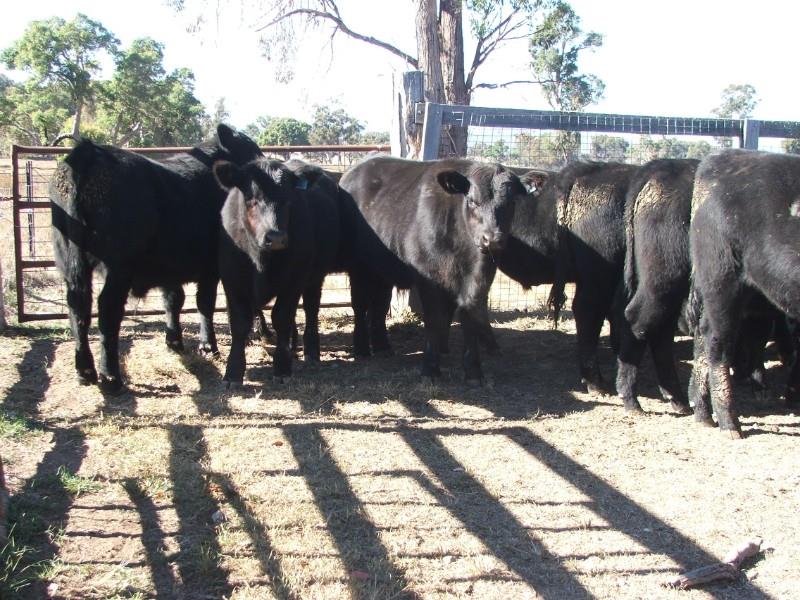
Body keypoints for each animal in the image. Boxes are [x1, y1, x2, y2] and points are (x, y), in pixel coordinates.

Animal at [50, 124, 263, 393]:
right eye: (252, 151)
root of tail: (88, 153)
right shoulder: (211, 265)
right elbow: (205, 302)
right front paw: (208, 346)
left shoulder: (170, 265)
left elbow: (173, 300)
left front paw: (174, 341)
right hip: (118, 267)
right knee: (107, 311)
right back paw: (111, 377)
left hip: (70, 261)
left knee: (78, 307)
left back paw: (85, 371)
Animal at [213, 158, 343, 386]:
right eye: (252, 199)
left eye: (289, 200)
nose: (276, 238)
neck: (261, 259)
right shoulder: (232, 280)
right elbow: (239, 323)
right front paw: (233, 372)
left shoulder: (294, 280)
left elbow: (281, 317)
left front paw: (282, 367)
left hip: (314, 278)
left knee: (310, 308)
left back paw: (310, 352)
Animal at [338, 155, 526, 383]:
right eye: (472, 201)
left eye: (511, 203)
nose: (492, 239)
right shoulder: (429, 275)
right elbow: (435, 318)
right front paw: (430, 368)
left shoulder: (480, 276)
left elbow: (470, 314)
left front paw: (473, 371)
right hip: (359, 267)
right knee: (359, 305)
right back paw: (362, 349)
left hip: (382, 269)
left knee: (380, 305)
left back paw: (382, 346)